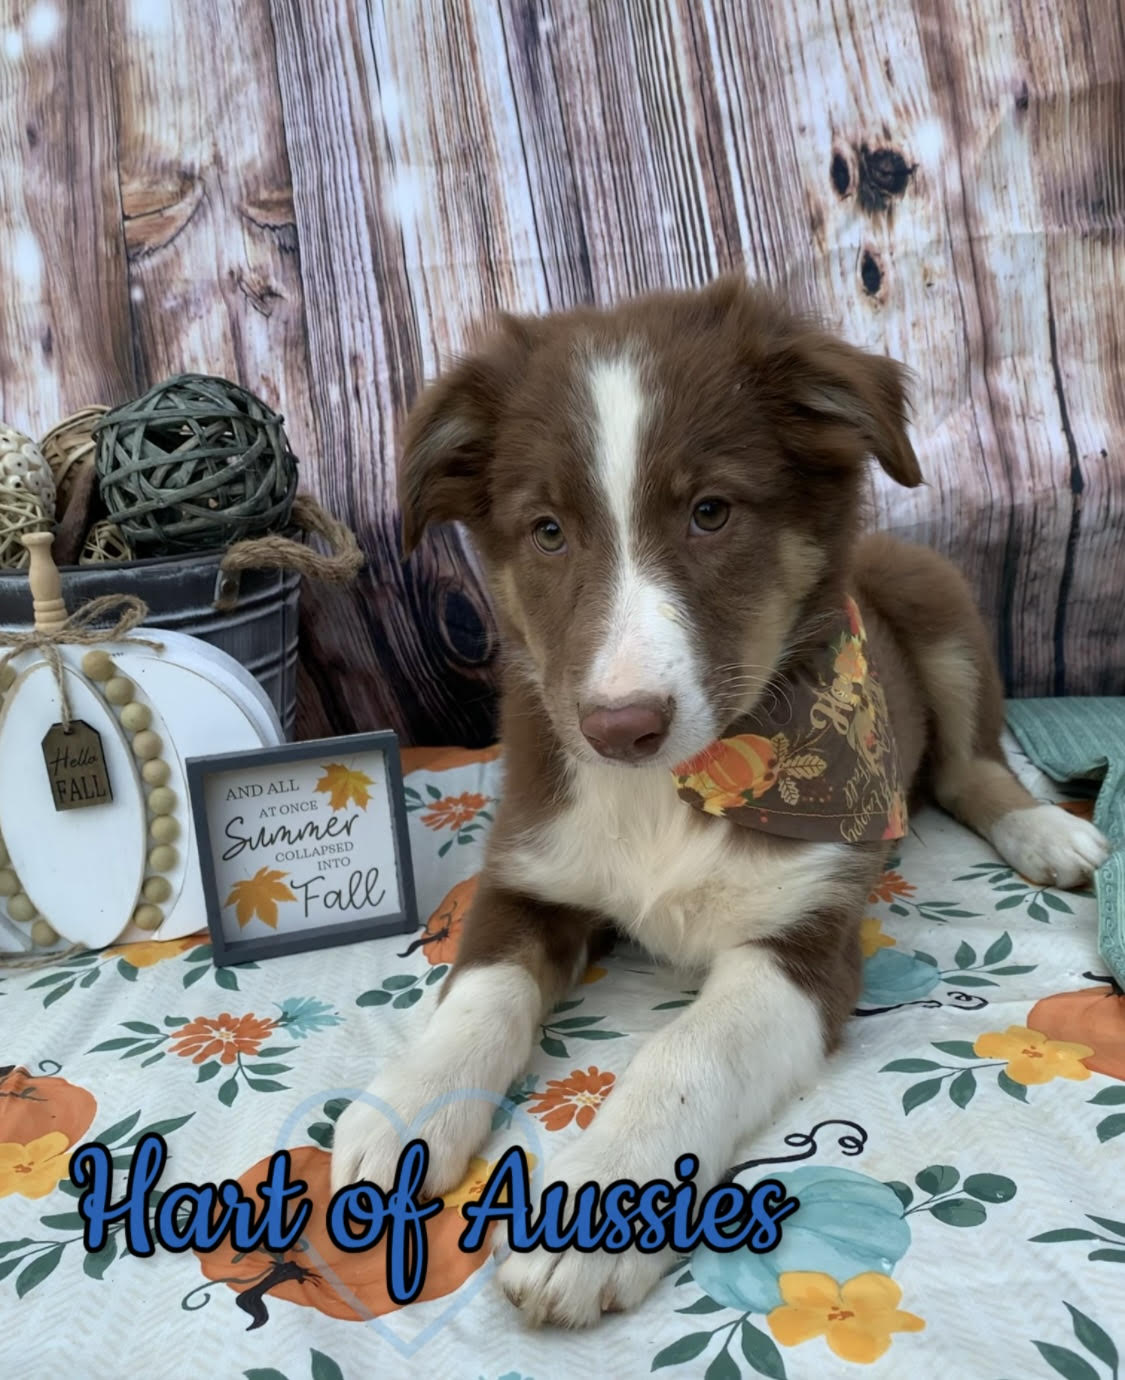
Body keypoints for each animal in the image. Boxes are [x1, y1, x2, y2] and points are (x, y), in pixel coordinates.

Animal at [332, 275, 1111, 1326]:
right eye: (547, 531)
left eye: (710, 511)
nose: (619, 726)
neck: (674, 785)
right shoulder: (528, 869)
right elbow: (478, 994)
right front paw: (405, 1107)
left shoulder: (804, 945)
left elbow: (685, 1054)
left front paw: (599, 1202)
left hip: (936, 603)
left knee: (968, 768)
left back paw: (1046, 835)